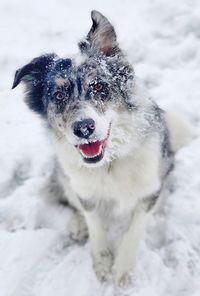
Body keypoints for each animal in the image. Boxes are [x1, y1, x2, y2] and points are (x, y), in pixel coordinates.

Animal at [11, 11, 193, 286]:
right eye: (58, 96)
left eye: (99, 87)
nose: (83, 128)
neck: (110, 162)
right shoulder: (85, 190)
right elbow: (93, 220)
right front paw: (102, 262)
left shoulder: (149, 189)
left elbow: (135, 229)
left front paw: (123, 269)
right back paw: (77, 226)